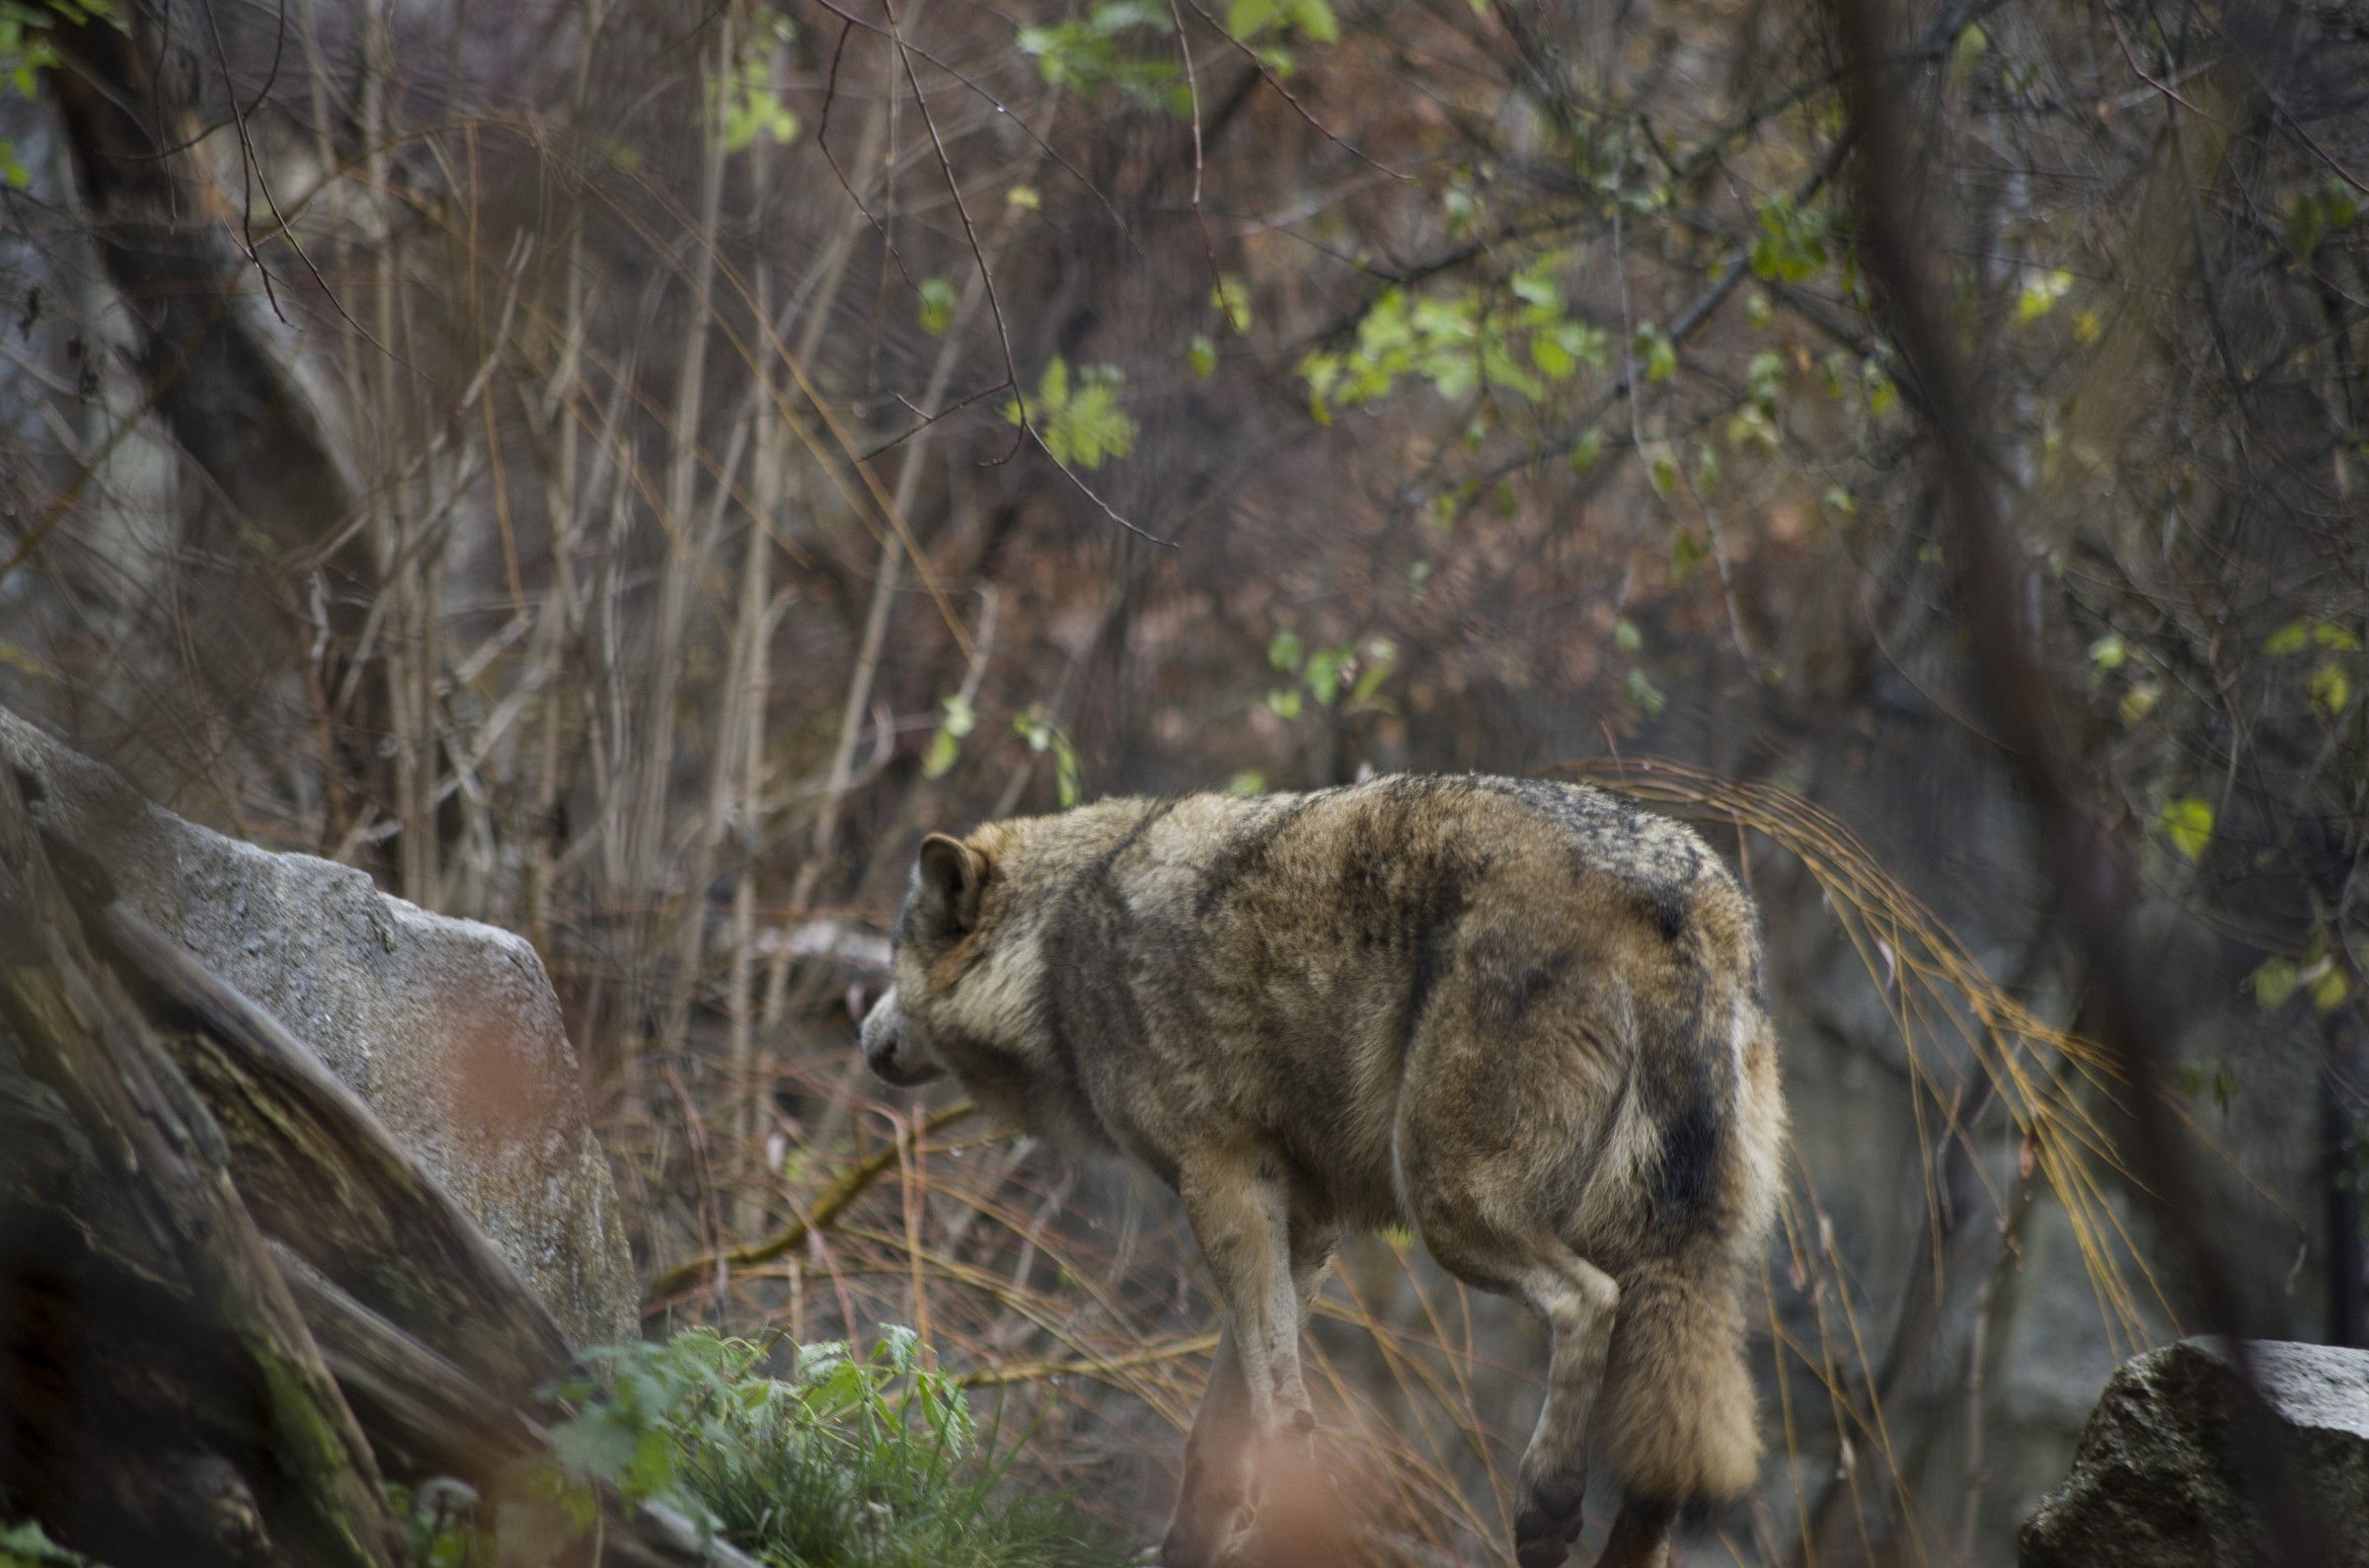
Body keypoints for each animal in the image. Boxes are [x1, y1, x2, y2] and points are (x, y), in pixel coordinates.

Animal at [859, 774, 1786, 1568]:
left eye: (891, 957)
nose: (862, 1031)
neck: (1053, 951)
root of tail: (1684, 900)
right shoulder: (1306, 1225)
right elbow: (1224, 1426)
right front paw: (1192, 1545)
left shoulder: (1224, 1183)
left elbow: (1278, 1409)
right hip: (1673, 1268)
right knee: (1665, 1448)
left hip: (1453, 1209)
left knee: (1587, 1300)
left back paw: (1546, 1503)